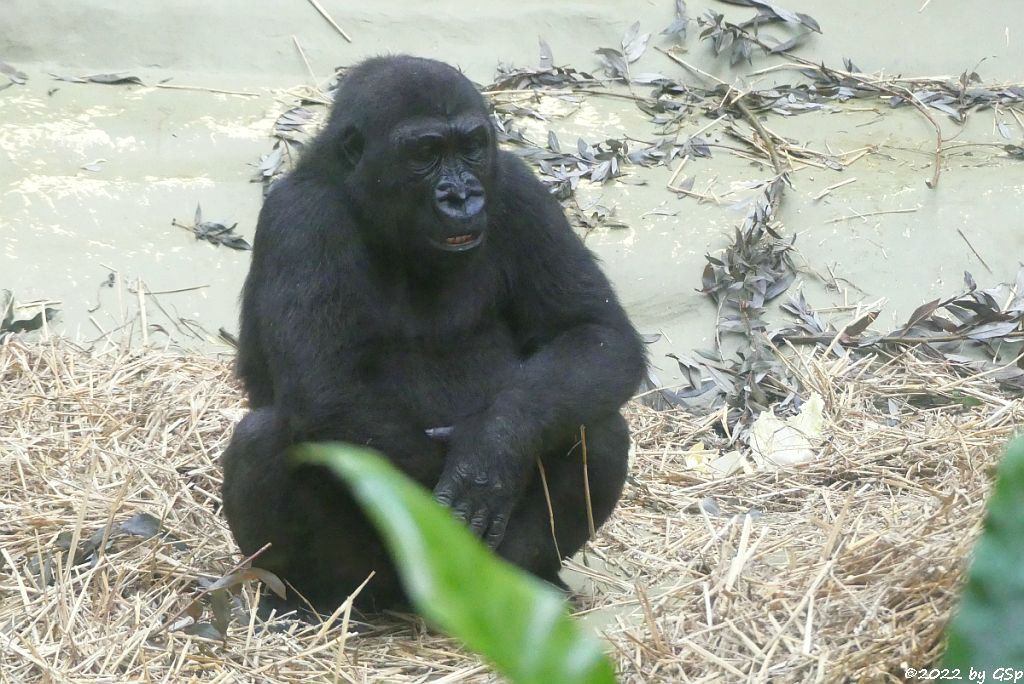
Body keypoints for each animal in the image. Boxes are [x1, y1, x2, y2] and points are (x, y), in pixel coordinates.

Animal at [221, 52, 643, 610]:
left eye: (471, 146)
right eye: (424, 152)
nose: (460, 196)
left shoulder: (521, 191)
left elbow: (595, 333)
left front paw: (493, 447)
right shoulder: (302, 220)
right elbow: (327, 388)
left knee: (594, 424)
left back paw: (525, 579)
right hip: (379, 580)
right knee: (263, 440)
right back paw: (308, 602)